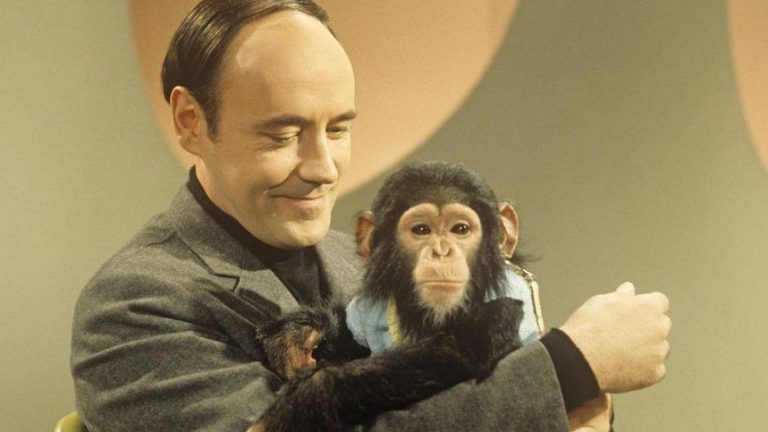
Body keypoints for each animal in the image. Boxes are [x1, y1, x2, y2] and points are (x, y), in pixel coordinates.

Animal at [252, 161, 525, 432]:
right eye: (421, 229)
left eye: (460, 229)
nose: (441, 251)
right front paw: (300, 331)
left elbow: (466, 344)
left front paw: (303, 400)